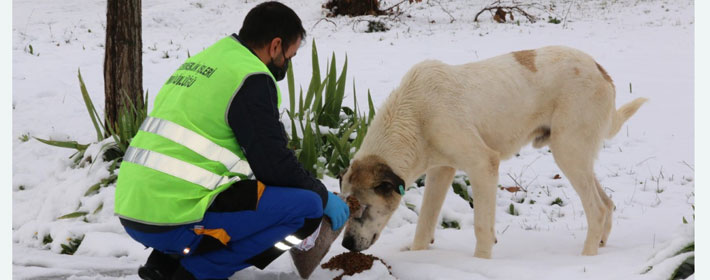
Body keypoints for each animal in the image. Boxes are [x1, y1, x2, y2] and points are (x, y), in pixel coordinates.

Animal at [342, 46, 648, 258]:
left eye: (363, 208)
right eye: (346, 206)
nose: (345, 244)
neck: (415, 116)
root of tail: (600, 70)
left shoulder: (483, 165)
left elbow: (481, 227)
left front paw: (480, 262)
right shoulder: (441, 171)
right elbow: (425, 224)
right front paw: (418, 256)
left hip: (568, 151)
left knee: (597, 209)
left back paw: (586, 258)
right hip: (577, 154)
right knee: (607, 203)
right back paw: (600, 246)